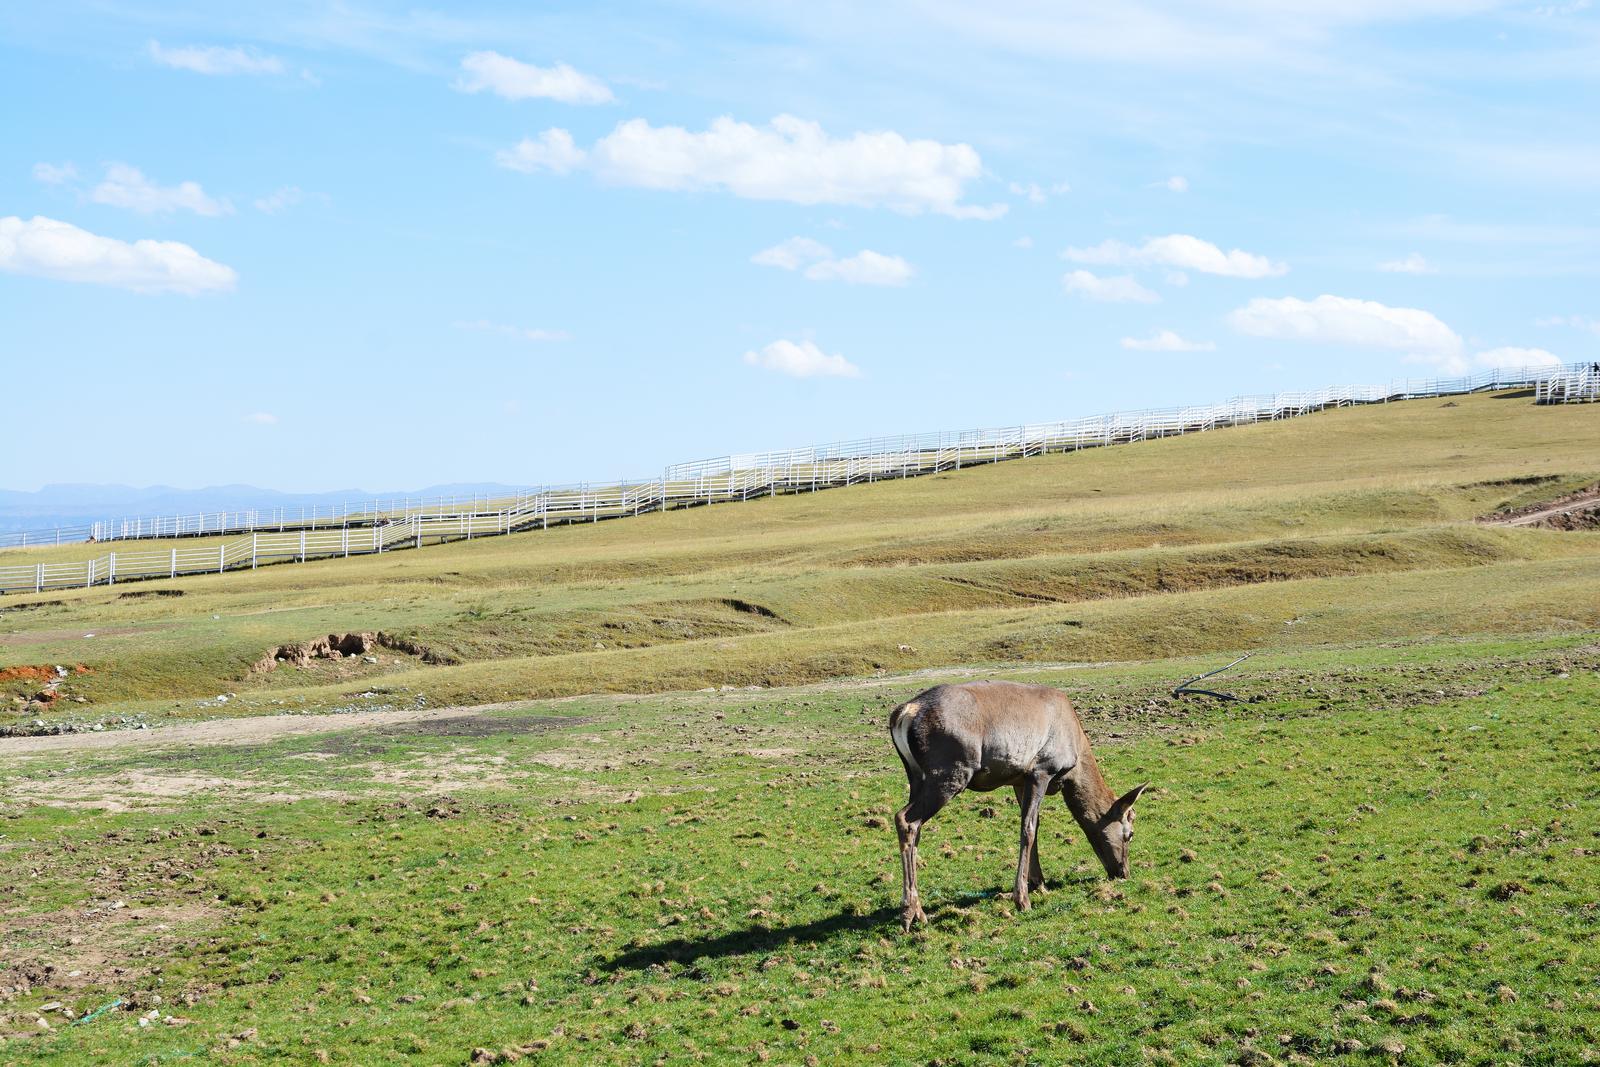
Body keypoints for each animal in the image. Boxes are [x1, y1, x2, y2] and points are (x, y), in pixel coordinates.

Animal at [889, 680, 1148, 931]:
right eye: (1130, 834)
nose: (1123, 873)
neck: (1075, 761)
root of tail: (904, 713)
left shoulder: (1019, 780)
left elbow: (1034, 826)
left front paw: (1039, 883)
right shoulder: (1041, 770)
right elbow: (1028, 828)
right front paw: (1022, 898)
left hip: (916, 775)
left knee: (916, 828)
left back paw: (920, 912)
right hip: (950, 773)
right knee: (905, 819)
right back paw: (908, 914)